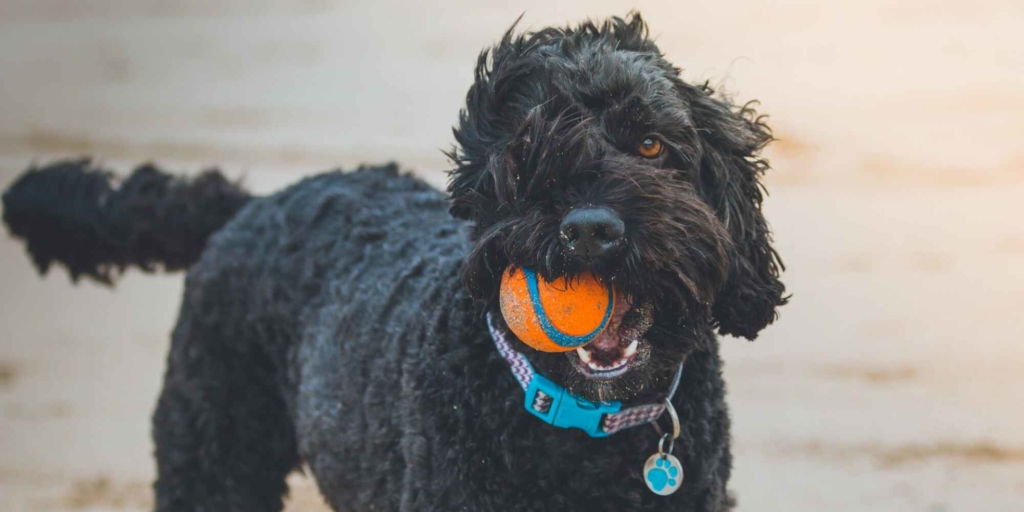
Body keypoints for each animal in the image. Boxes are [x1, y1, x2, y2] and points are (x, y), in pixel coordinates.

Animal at [2, 14, 782, 509]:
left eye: (652, 143)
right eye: (525, 153)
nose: (590, 230)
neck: (580, 429)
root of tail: (253, 203)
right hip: (212, 454)